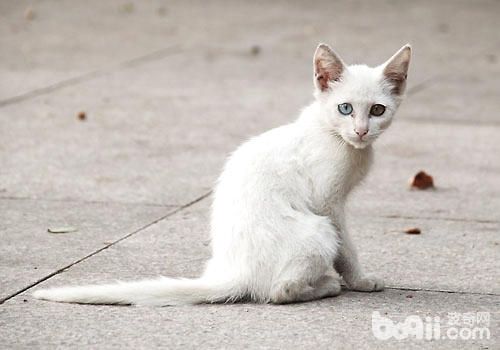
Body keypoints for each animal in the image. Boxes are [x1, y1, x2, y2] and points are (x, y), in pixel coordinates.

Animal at [34, 43, 410, 306]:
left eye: (378, 110)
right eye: (345, 108)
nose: (361, 131)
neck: (335, 137)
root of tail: (235, 273)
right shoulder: (328, 202)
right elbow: (347, 248)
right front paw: (360, 280)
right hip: (317, 230)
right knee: (279, 291)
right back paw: (325, 286)